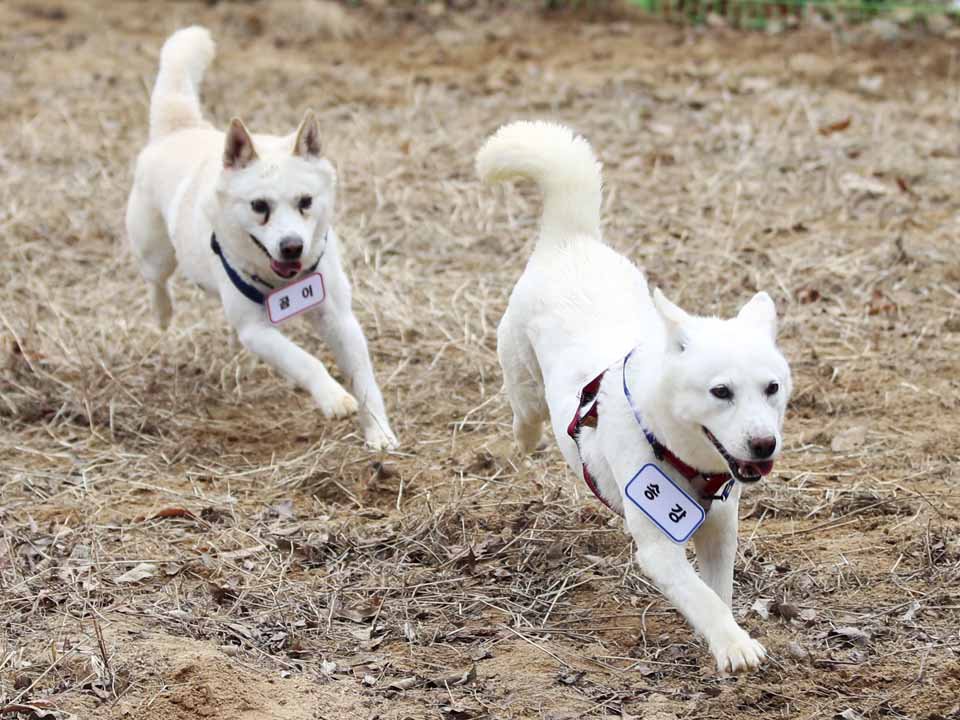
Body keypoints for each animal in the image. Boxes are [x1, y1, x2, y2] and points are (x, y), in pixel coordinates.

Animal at [127, 26, 398, 450]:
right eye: (259, 206)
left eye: (306, 201)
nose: (292, 246)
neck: (284, 281)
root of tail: (182, 128)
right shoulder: (257, 331)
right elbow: (305, 360)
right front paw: (333, 398)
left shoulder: (339, 318)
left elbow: (365, 379)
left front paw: (379, 433)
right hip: (154, 251)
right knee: (156, 280)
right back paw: (162, 313)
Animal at [476, 121, 792, 672]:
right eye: (721, 391)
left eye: (772, 388)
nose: (763, 445)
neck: (681, 453)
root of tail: (571, 239)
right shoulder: (660, 546)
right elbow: (702, 597)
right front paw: (734, 646)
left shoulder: (720, 528)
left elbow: (717, 592)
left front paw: (723, 635)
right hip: (521, 373)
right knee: (524, 410)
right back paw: (526, 437)